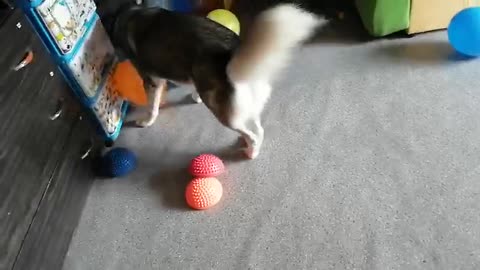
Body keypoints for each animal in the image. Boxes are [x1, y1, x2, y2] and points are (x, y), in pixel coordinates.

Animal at [107, 2, 320, 158]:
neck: (126, 13)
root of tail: (234, 52)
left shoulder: (152, 80)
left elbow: (152, 107)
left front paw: (146, 121)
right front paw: (195, 96)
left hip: (225, 114)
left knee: (251, 134)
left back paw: (251, 152)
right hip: (246, 106)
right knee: (259, 129)